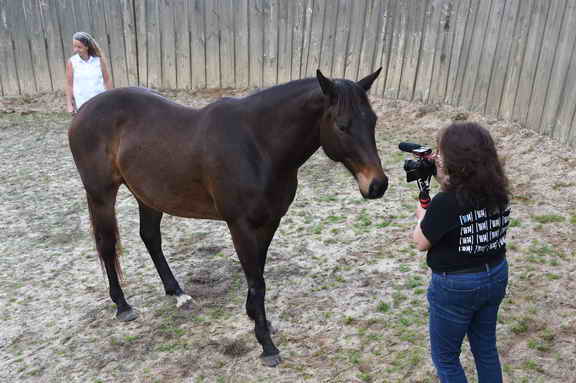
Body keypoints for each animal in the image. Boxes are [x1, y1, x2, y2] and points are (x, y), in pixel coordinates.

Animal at [70, 67, 390, 368]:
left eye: (373, 121)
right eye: (342, 125)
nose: (377, 185)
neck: (258, 145)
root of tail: (83, 111)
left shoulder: (269, 221)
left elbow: (258, 271)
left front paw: (257, 318)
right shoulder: (240, 226)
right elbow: (257, 281)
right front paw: (266, 345)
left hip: (148, 195)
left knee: (150, 237)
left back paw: (177, 292)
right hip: (100, 195)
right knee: (107, 244)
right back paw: (123, 305)